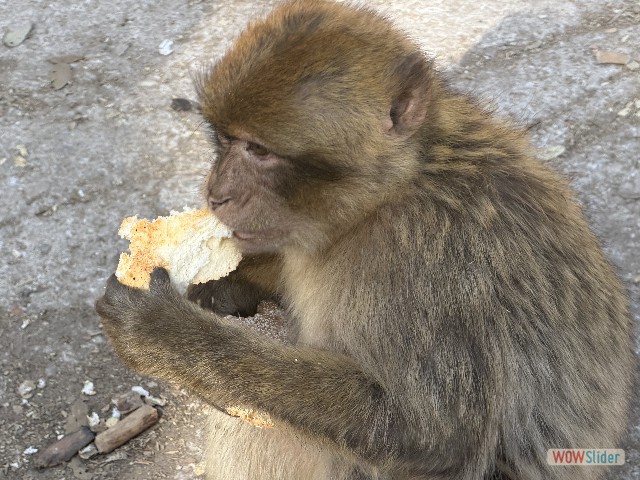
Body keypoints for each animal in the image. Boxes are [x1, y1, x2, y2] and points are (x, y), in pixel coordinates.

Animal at [95, 1, 635, 479]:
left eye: (259, 151)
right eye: (226, 140)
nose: (216, 192)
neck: (388, 194)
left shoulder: (423, 257)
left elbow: (431, 436)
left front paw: (163, 333)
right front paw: (224, 287)